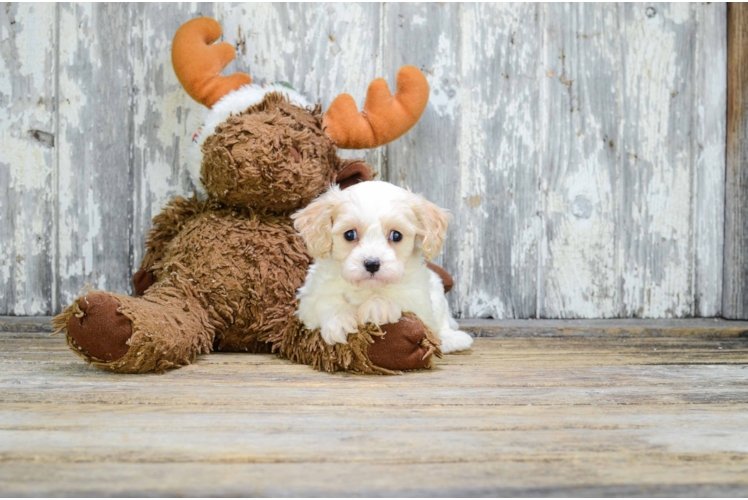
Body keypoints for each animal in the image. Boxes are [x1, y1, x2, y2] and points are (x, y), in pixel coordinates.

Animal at [292, 182, 474, 354]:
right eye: (349, 234)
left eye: (396, 235)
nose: (372, 264)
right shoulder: (309, 299)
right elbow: (325, 301)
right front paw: (340, 320)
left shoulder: (420, 299)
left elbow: (400, 296)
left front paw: (377, 306)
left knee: (441, 325)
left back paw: (454, 339)